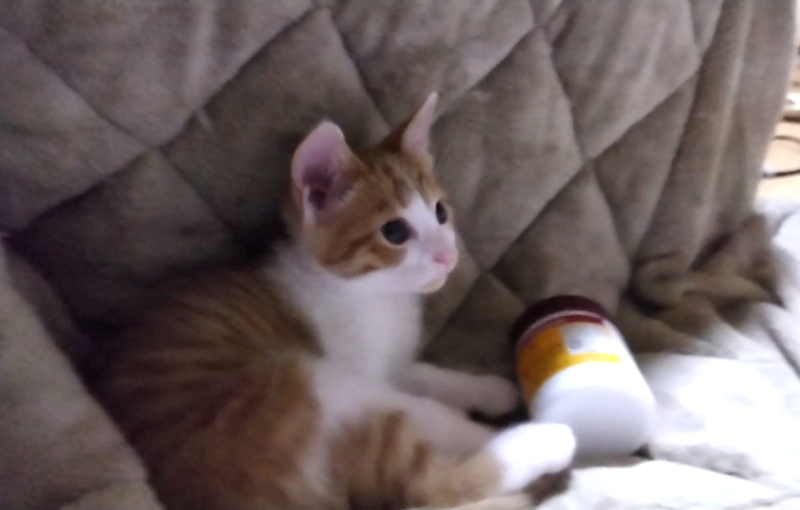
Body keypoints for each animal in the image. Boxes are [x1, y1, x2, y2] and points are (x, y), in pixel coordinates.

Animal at [95, 93, 576, 510]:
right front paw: (484, 418)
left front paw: (486, 388)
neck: (373, 295)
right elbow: (428, 410)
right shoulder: (358, 370)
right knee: (432, 480)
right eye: (395, 232)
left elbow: (426, 375)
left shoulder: (387, 364)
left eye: (440, 212)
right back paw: (547, 437)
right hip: (303, 388)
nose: (448, 255)